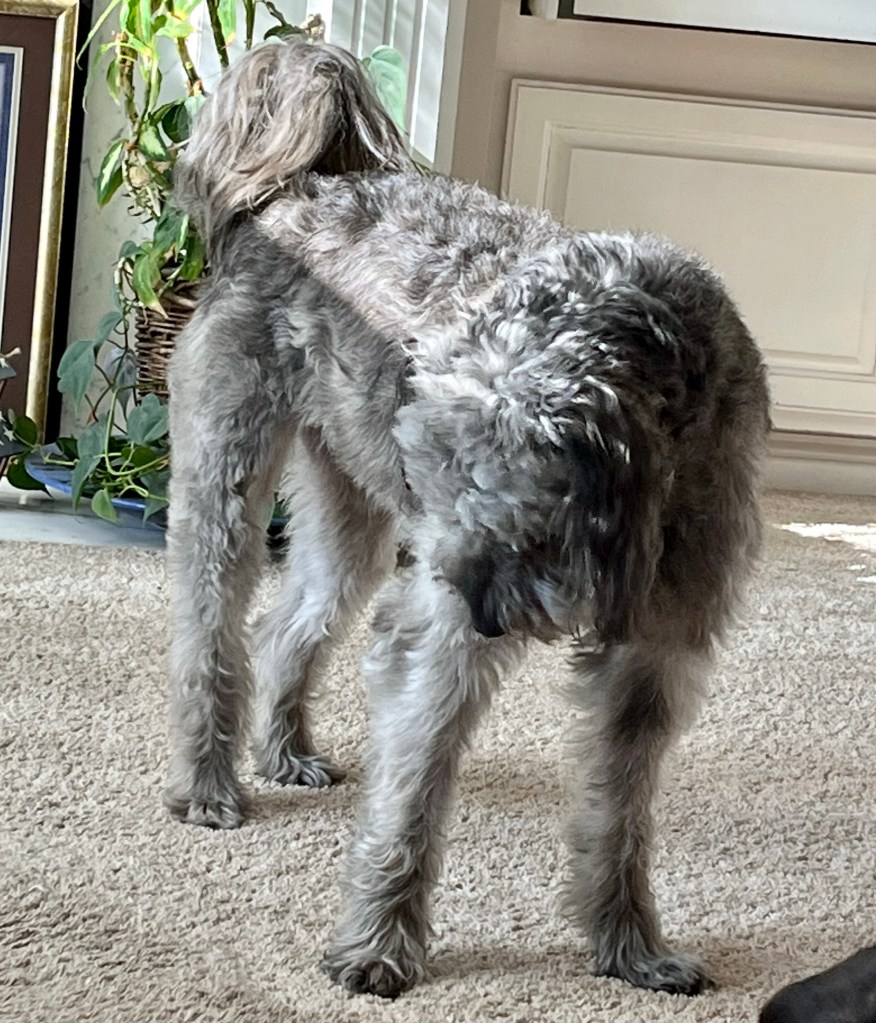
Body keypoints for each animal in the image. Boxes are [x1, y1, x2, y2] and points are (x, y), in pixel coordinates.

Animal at [163, 39, 771, 1000]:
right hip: (229, 478)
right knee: (209, 637)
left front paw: (629, 946)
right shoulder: (443, 639)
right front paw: (378, 944)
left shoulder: (651, 661)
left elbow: (618, 818)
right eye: (442, 483)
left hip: (351, 512)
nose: (467, 612)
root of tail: (294, 191)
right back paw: (208, 782)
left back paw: (285, 749)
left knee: (289, 626)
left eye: (515, 501)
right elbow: (410, 799)